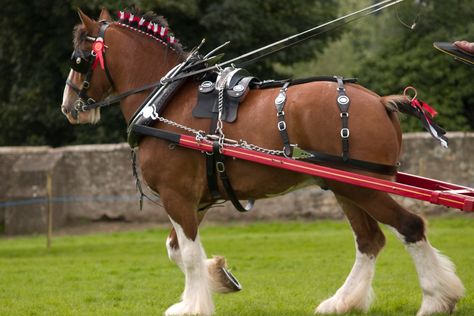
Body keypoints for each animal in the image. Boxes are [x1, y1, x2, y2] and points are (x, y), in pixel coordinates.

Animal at [61, 8, 464, 316]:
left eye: (79, 58)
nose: (68, 106)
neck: (166, 101)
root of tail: (381, 101)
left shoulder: (177, 196)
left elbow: (187, 254)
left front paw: (192, 305)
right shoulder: (196, 199)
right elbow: (177, 249)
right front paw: (219, 276)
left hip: (359, 186)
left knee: (409, 227)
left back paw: (436, 300)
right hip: (346, 187)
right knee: (370, 241)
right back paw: (342, 302)